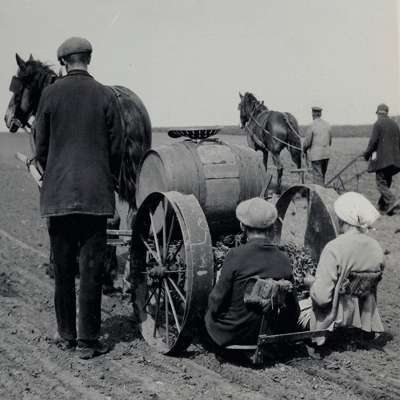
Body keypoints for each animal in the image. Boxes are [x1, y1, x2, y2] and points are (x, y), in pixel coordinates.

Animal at [4, 53, 152, 290]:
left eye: (17, 87)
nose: (7, 117)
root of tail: (124, 101)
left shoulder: (47, 178)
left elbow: (53, 220)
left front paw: (55, 267)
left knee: (113, 219)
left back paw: (106, 275)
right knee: (134, 216)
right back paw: (126, 276)